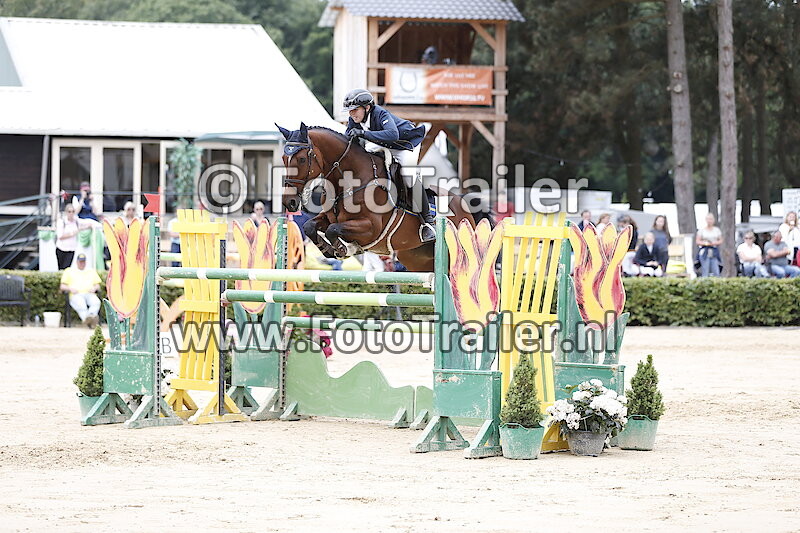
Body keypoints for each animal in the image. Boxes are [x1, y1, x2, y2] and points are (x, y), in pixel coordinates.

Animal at [276, 122, 475, 272]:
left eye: (302, 159)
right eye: (284, 159)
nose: (289, 202)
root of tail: (463, 206)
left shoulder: (371, 228)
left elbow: (333, 229)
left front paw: (344, 249)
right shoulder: (328, 217)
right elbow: (310, 226)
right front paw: (330, 250)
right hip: (416, 259)